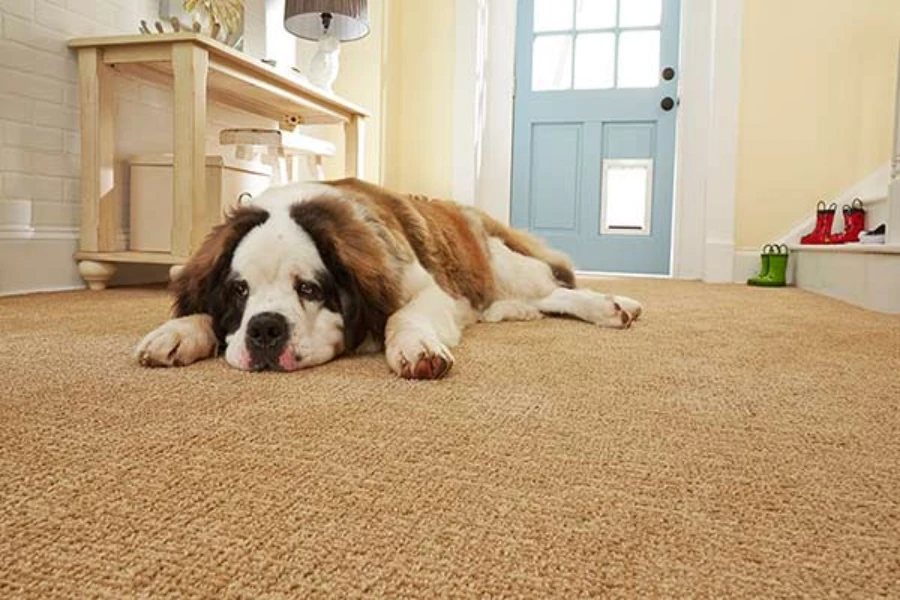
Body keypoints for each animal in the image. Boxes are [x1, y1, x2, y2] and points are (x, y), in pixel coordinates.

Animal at [134, 178, 644, 380]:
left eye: (310, 289)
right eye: (239, 291)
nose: (264, 329)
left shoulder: (429, 291)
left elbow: (403, 318)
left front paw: (417, 348)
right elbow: (198, 312)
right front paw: (177, 332)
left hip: (507, 265)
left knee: (559, 289)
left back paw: (615, 306)